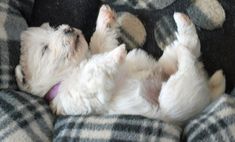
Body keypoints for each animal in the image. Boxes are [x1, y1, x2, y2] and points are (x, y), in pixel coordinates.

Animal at [15, 5, 226, 123]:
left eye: (55, 27)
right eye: (44, 49)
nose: (68, 29)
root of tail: (207, 91)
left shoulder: (98, 49)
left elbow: (100, 41)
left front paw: (105, 17)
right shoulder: (79, 93)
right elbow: (93, 69)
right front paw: (118, 53)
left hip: (169, 68)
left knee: (189, 48)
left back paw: (182, 22)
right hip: (174, 101)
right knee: (187, 61)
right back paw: (184, 51)